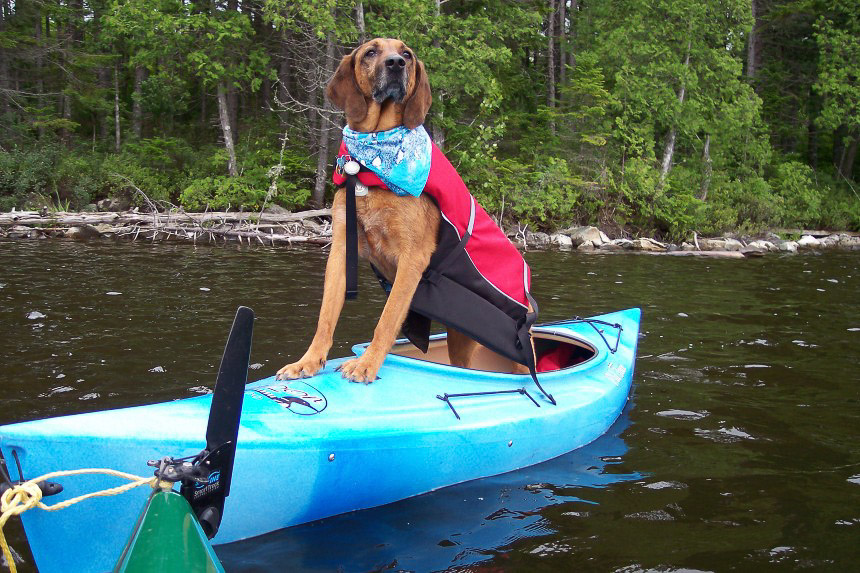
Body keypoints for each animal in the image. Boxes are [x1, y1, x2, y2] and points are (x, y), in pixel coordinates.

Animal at [278, 38, 498, 382]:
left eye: (407, 53)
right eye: (371, 52)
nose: (396, 64)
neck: (373, 161)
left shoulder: (413, 257)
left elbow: (388, 317)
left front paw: (366, 362)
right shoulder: (341, 249)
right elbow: (325, 316)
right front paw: (308, 361)